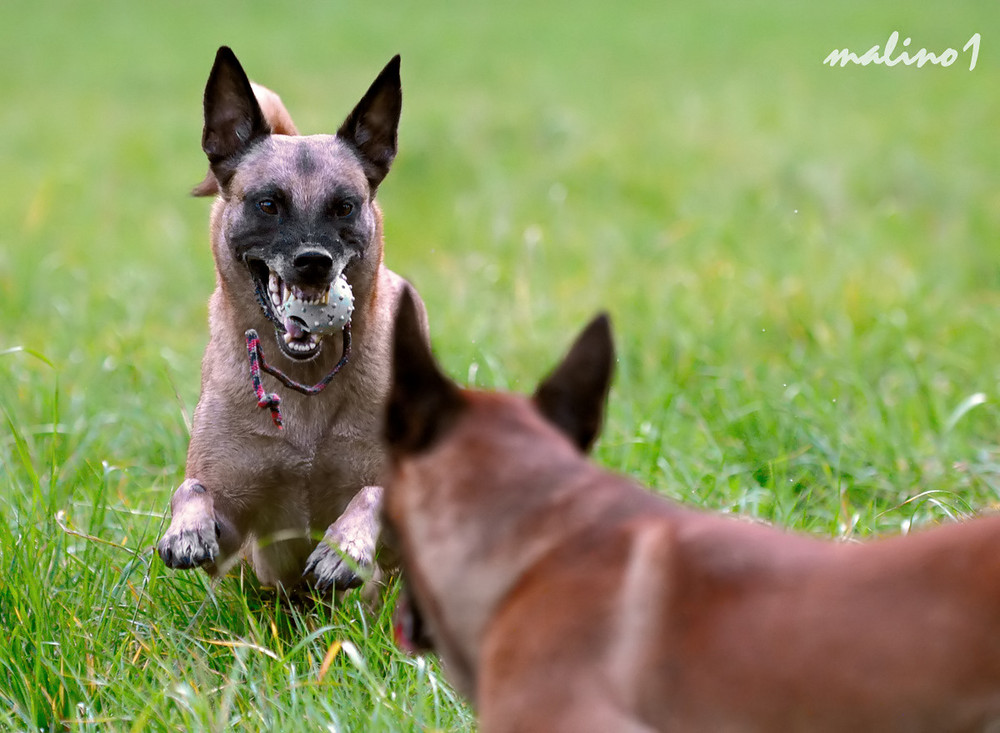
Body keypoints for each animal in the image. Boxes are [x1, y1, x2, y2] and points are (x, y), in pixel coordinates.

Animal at [157, 47, 426, 588]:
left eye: (344, 207)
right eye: (268, 204)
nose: (313, 262)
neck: (305, 384)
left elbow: (371, 492)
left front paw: (342, 547)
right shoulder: (233, 535)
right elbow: (191, 488)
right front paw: (186, 531)